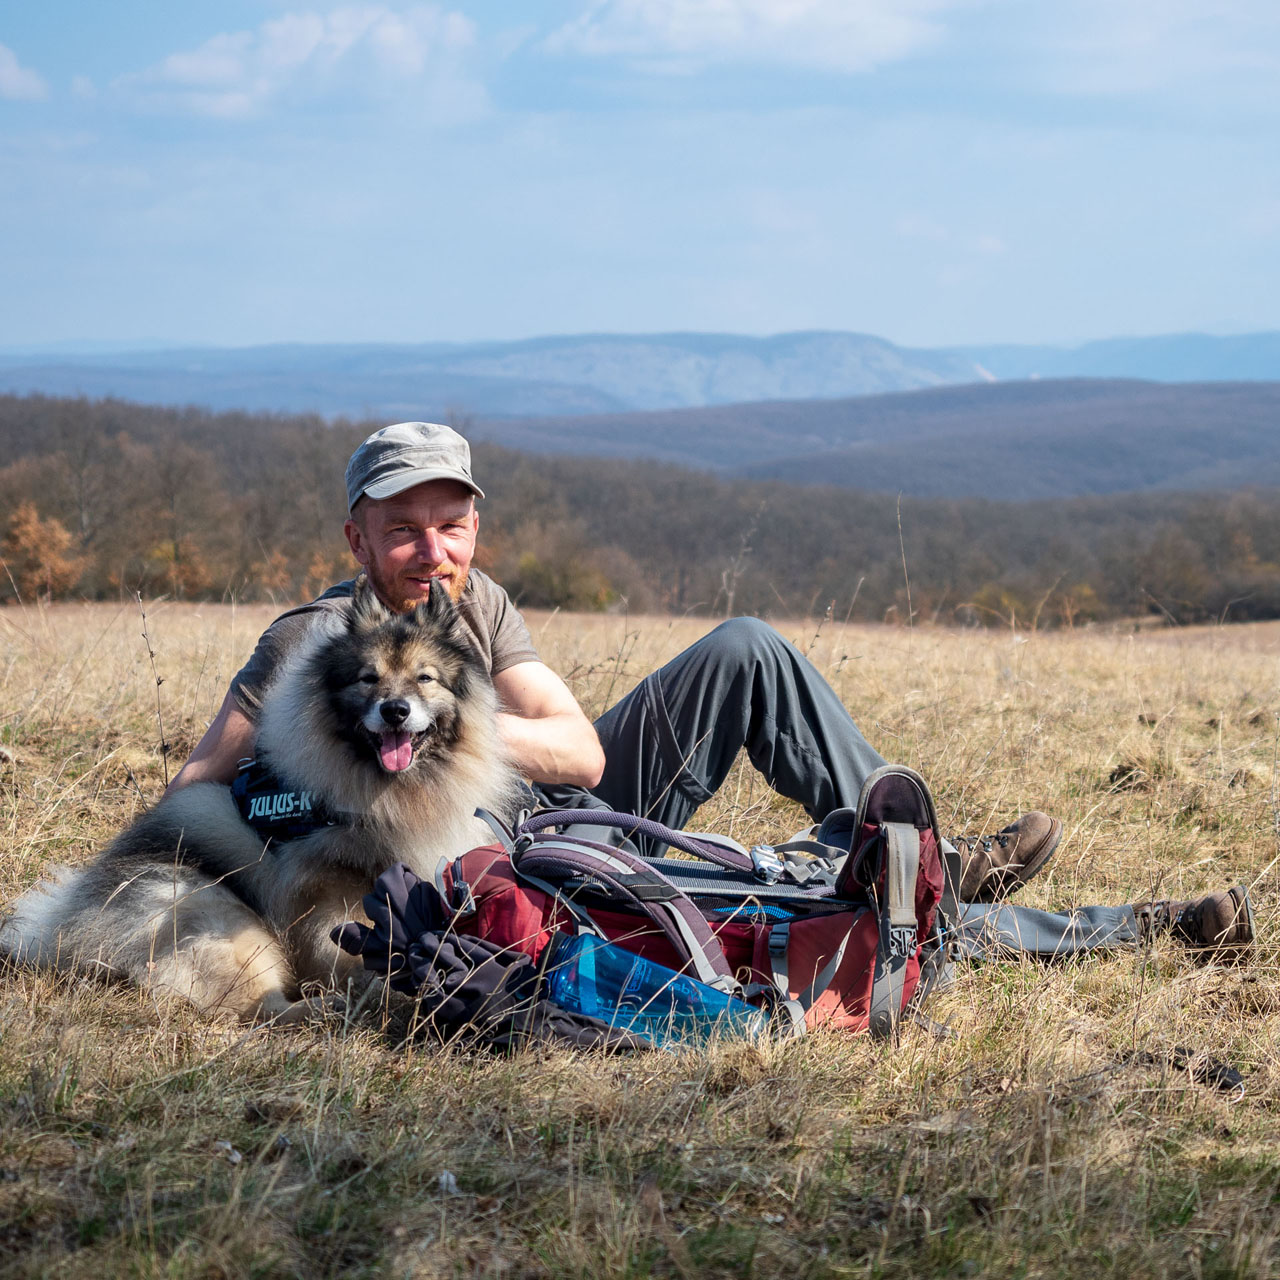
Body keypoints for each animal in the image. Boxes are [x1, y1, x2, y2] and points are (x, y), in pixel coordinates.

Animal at [0, 576, 522, 1024]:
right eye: (368, 679)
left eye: (425, 678)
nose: (395, 710)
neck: (388, 789)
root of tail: (66, 929)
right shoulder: (327, 899)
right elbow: (344, 948)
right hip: (227, 923)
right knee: (262, 1007)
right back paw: (336, 1006)